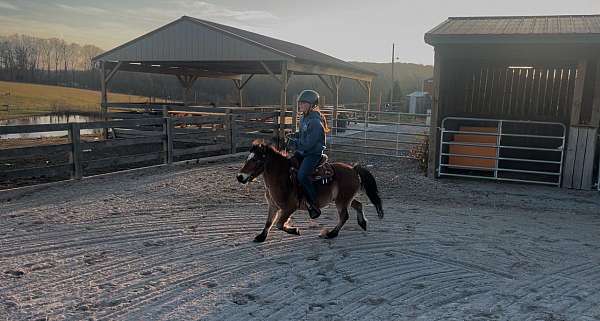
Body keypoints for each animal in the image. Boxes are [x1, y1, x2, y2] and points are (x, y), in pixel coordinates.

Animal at [236, 139, 384, 241]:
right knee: (358, 204)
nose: (239, 176)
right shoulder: (273, 206)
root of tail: (353, 169)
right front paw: (261, 237)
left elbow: (279, 224)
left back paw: (331, 234)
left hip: (341, 201)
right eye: (247, 158)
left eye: (255, 159)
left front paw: (295, 230)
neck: (282, 177)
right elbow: (269, 222)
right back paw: (362, 223)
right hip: (344, 198)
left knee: (344, 216)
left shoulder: (289, 207)